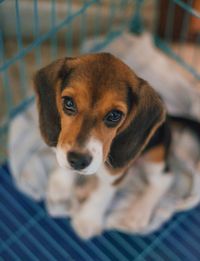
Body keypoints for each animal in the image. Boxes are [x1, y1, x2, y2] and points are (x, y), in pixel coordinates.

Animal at [33, 52, 173, 238]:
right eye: (68, 102)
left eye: (114, 115)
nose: (78, 160)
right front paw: (61, 183)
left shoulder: (115, 173)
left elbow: (102, 195)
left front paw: (87, 219)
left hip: (154, 155)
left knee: (163, 179)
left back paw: (137, 213)